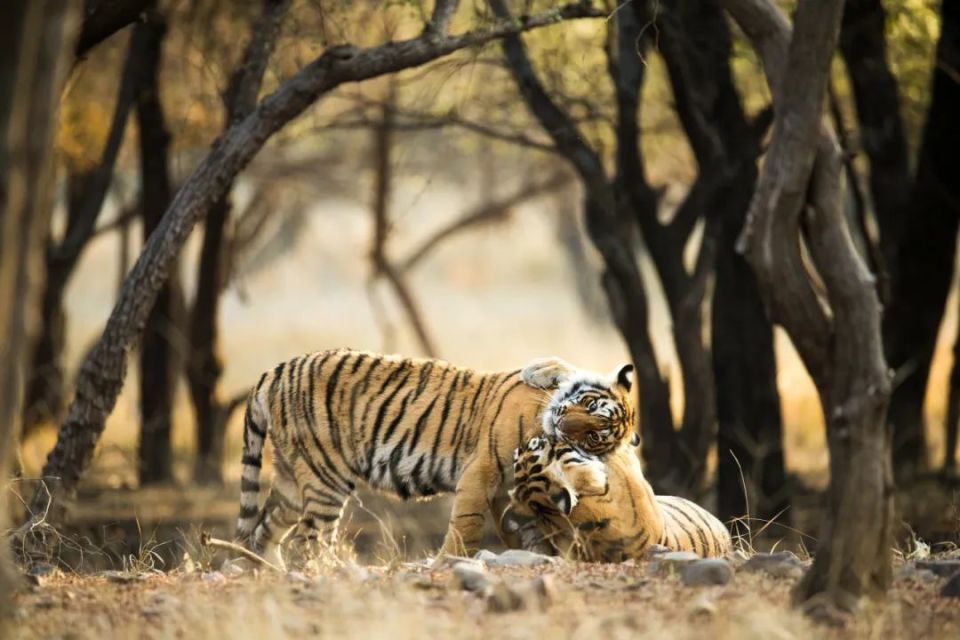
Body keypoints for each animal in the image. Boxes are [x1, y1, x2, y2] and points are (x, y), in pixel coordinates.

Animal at [235, 350, 632, 564]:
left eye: (594, 437)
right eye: (590, 406)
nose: (564, 424)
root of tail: (274, 372)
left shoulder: (509, 489)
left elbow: (526, 527)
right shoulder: (481, 469)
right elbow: (467, 522)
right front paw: (449, 559)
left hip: (294, 477)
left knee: (265, 528)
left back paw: (273, 573)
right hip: (326, 476)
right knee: (310, 538)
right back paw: (336, 574)